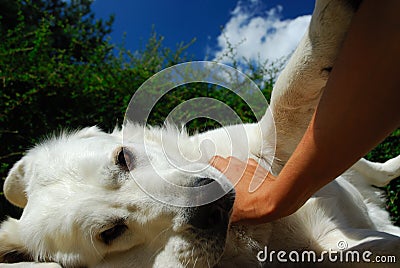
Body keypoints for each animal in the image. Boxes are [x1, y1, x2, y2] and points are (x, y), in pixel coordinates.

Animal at [0, 0, 400, 266]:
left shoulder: (265, 139)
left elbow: (289, 91)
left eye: (123, 158)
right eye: (110, 233)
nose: (211, 205)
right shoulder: (331, 245)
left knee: (373, 167)